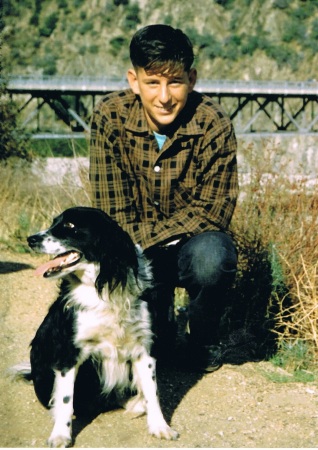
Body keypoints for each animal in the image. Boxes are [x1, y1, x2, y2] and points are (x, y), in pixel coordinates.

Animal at [15, 207, 179, 446]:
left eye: (70, 226)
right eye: (55, 222)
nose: (31, 239)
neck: (102, 286)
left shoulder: (143, 349)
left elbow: (152, 391)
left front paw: (160, 427)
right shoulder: (68, 353)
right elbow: (66, 399)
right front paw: (60, 435)